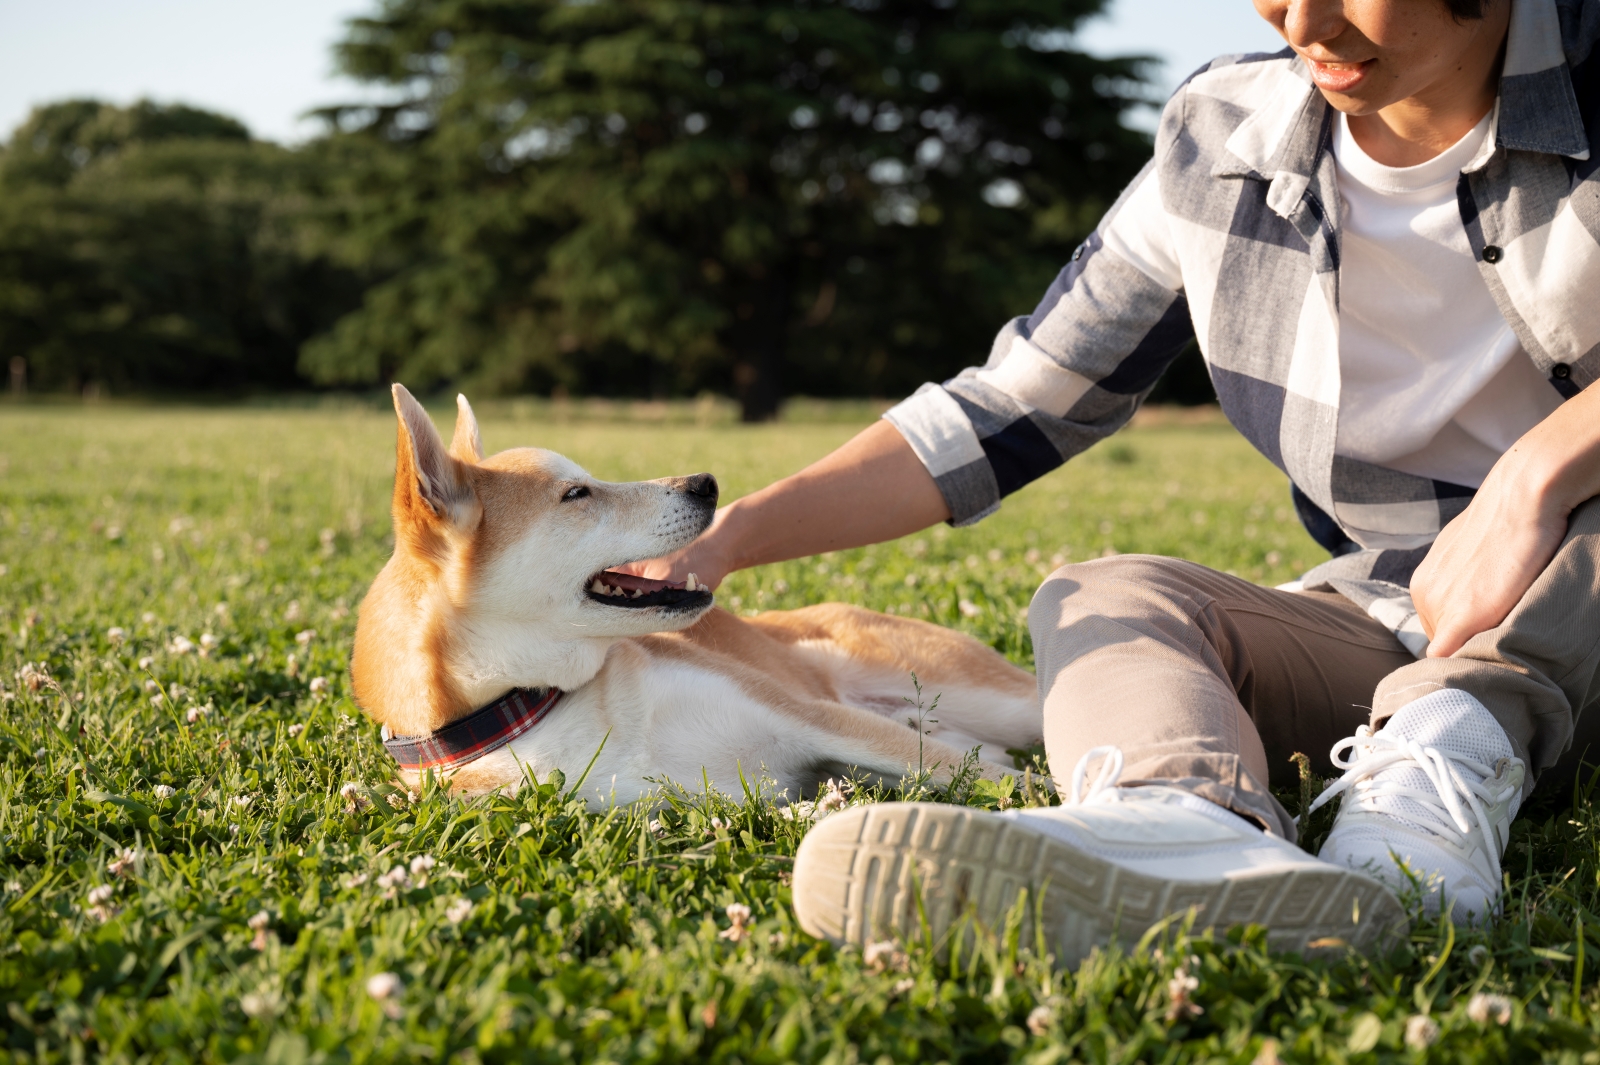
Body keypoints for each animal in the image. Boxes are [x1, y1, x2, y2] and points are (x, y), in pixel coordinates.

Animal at [352, 385, 1043, 809]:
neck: (534, 707)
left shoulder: (816, 718)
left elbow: (1005, 780)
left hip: (993, 700)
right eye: (576, 494)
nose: (705, 483)